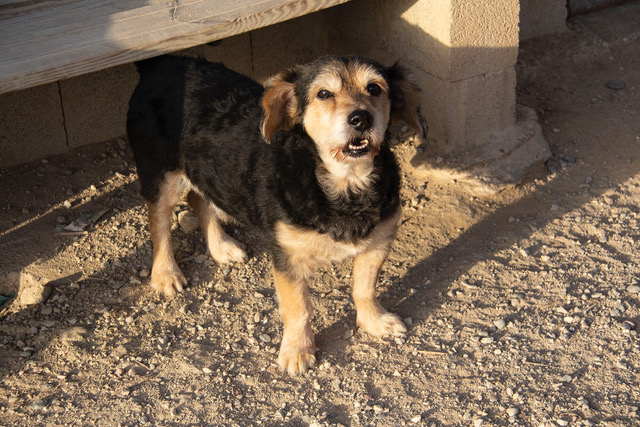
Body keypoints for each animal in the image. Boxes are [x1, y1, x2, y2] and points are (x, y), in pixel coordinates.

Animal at [126, 54, 427, 374]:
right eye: (323, 94)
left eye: (374, 88)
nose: (361, 118)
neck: (346, 183)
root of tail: (163, 62)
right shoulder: (287, 256)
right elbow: (298, 308)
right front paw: (297, 350)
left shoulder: (378, 241)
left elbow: (365, 288)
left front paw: (374, 321)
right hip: (160, 172)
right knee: (158, 220)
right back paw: (165, 274)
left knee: (198, 197)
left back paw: (222, 247)